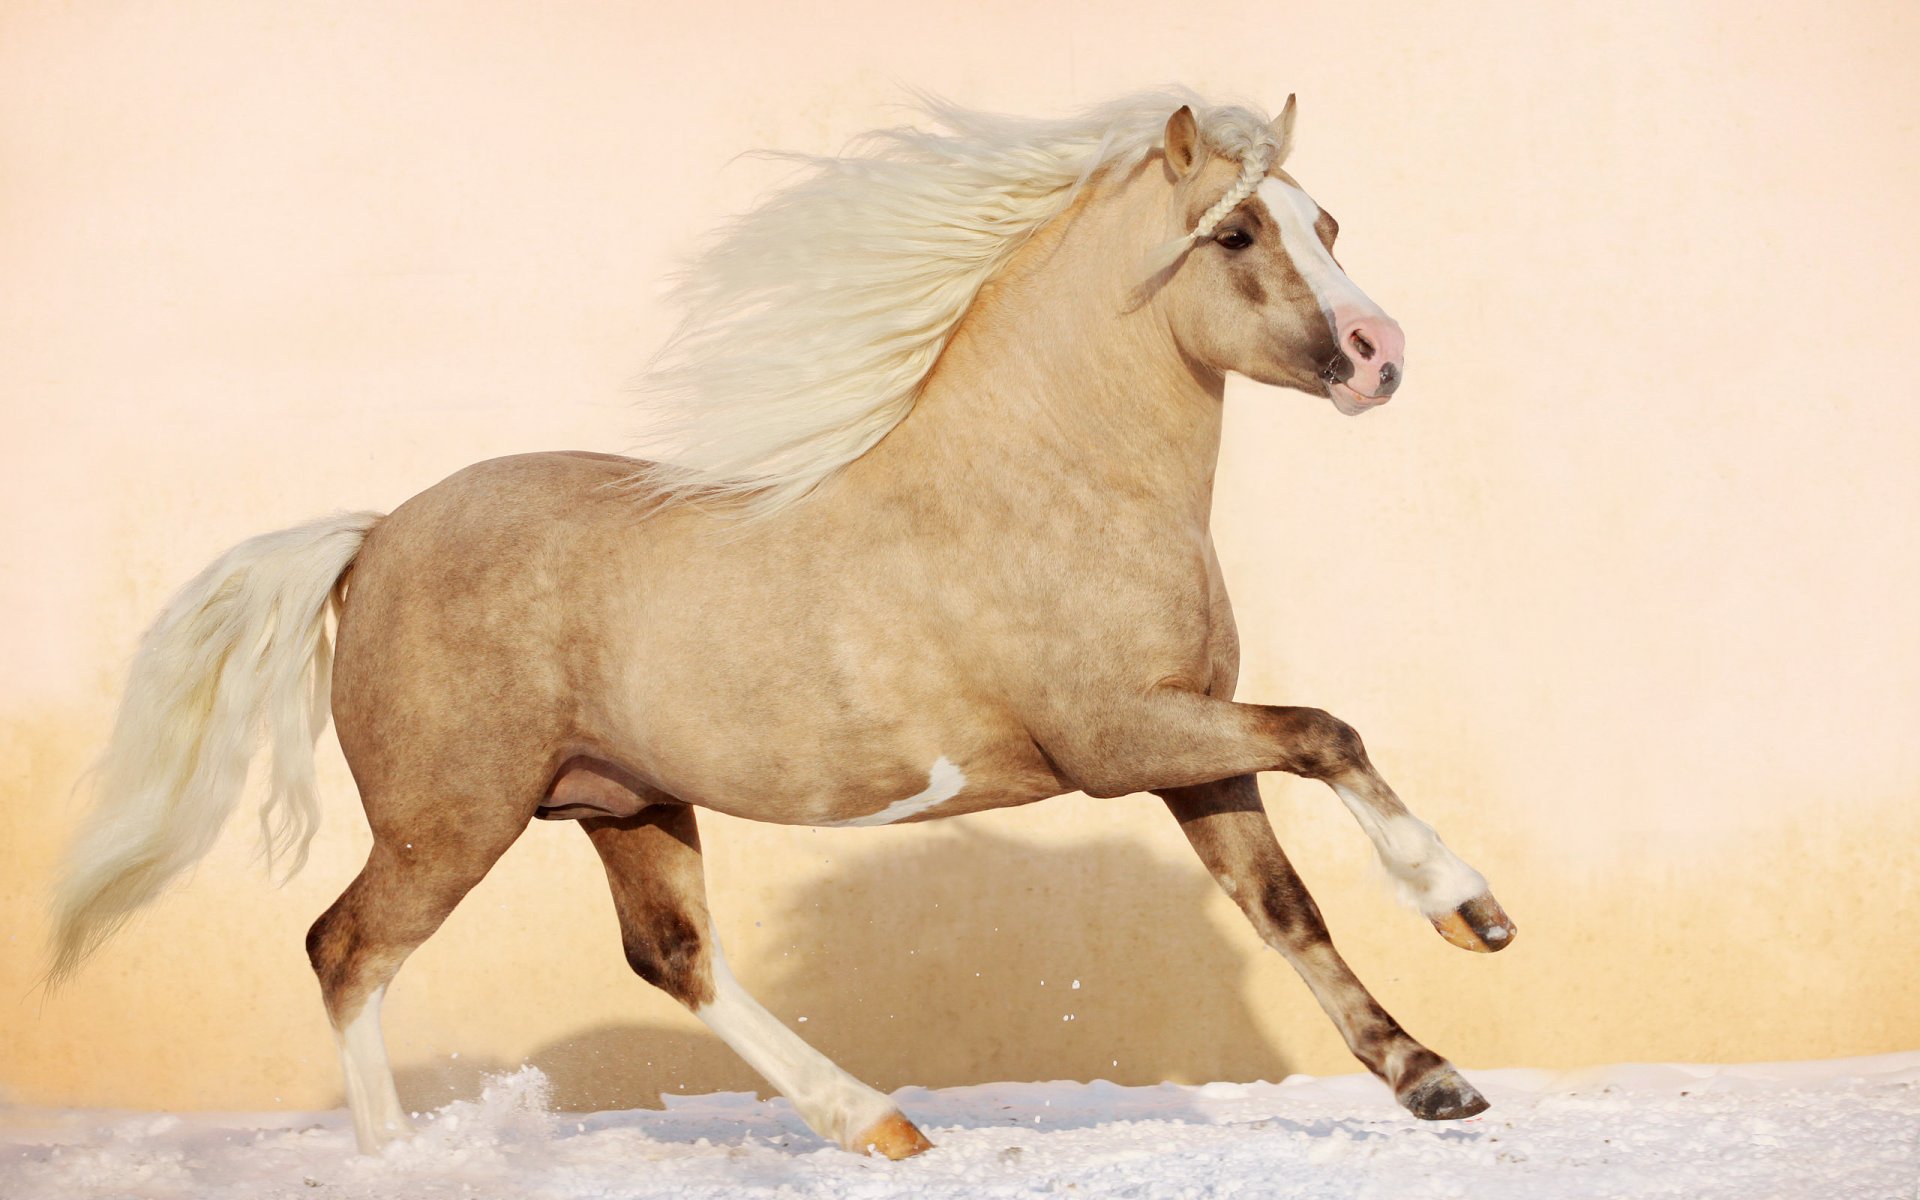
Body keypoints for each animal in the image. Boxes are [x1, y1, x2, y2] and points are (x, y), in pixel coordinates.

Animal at [47, 88, 1514, 1160]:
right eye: (1236, 236)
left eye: (1328, 219)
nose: (1381, 355)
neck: (1053, 480)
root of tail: (373, 537)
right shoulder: (1123, 739)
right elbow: (1329, 733)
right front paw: (1469, 909)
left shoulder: (1189, 749)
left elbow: (1286, 904)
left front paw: (1434, 1077)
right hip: (447, 822)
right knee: (348, 951)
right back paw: (401, 1160)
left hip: (625, 804)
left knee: (673, 955)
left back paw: (876, 1125)